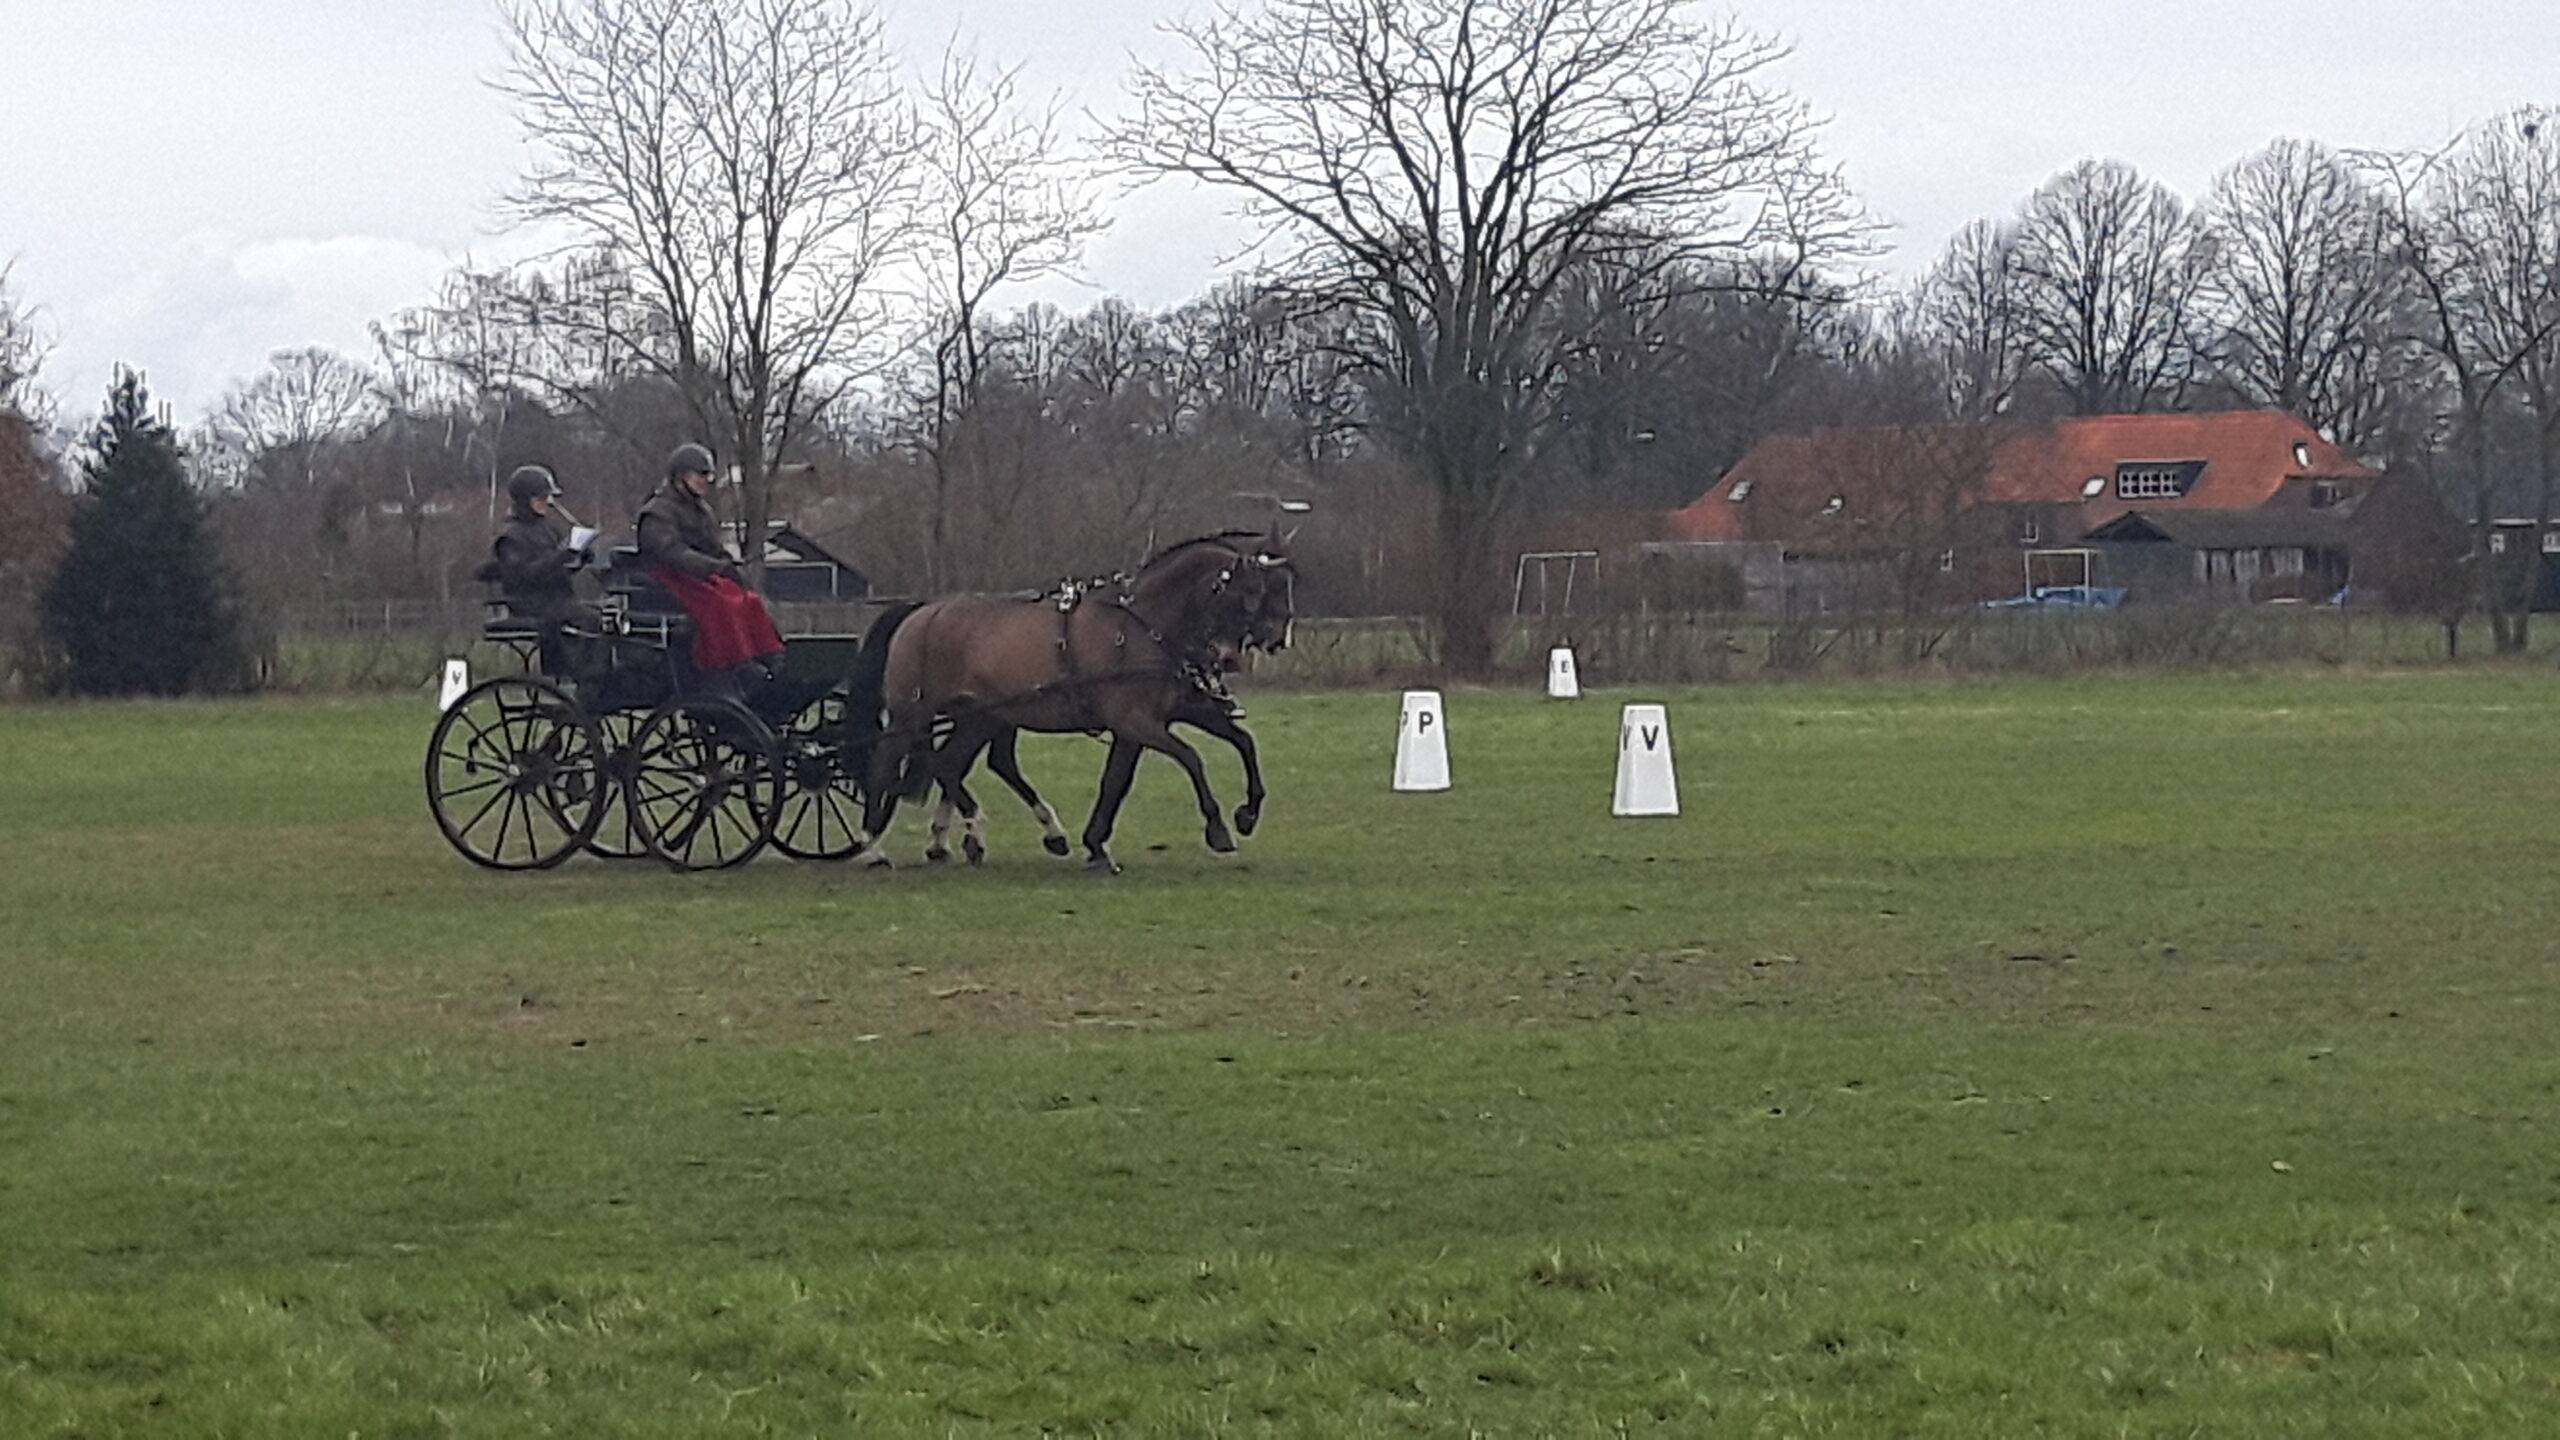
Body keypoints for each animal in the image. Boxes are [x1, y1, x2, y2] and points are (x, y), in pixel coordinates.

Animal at [843, 533, 1281, 873]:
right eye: (1243, 595)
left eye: (1261, 594)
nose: (1228, 659)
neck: (1142, 626)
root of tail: (921, 611)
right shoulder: (1137, 721)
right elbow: (1191, 759)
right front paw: (1218, 829)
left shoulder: (1165, 715)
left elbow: (1240, 742)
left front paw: (1247, 814)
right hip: (913, 712)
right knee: (889, 762)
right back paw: (874, 847)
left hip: (979, 716)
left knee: (951, 764)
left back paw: (989, 836)